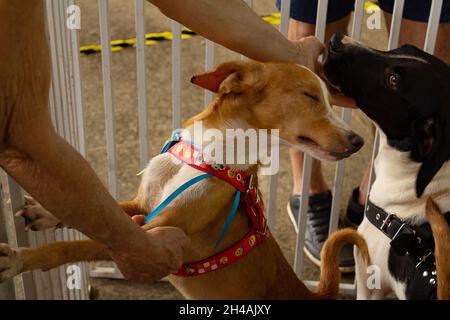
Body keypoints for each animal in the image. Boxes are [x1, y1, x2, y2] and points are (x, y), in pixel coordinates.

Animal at [0, 60, 368, 300]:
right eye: (310, 96)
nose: (359, 141)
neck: (209, 156)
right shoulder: (143, 205)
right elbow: (98, 208)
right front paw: (45, 212)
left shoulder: (153, 232)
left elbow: (76, 245)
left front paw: (20, 259)